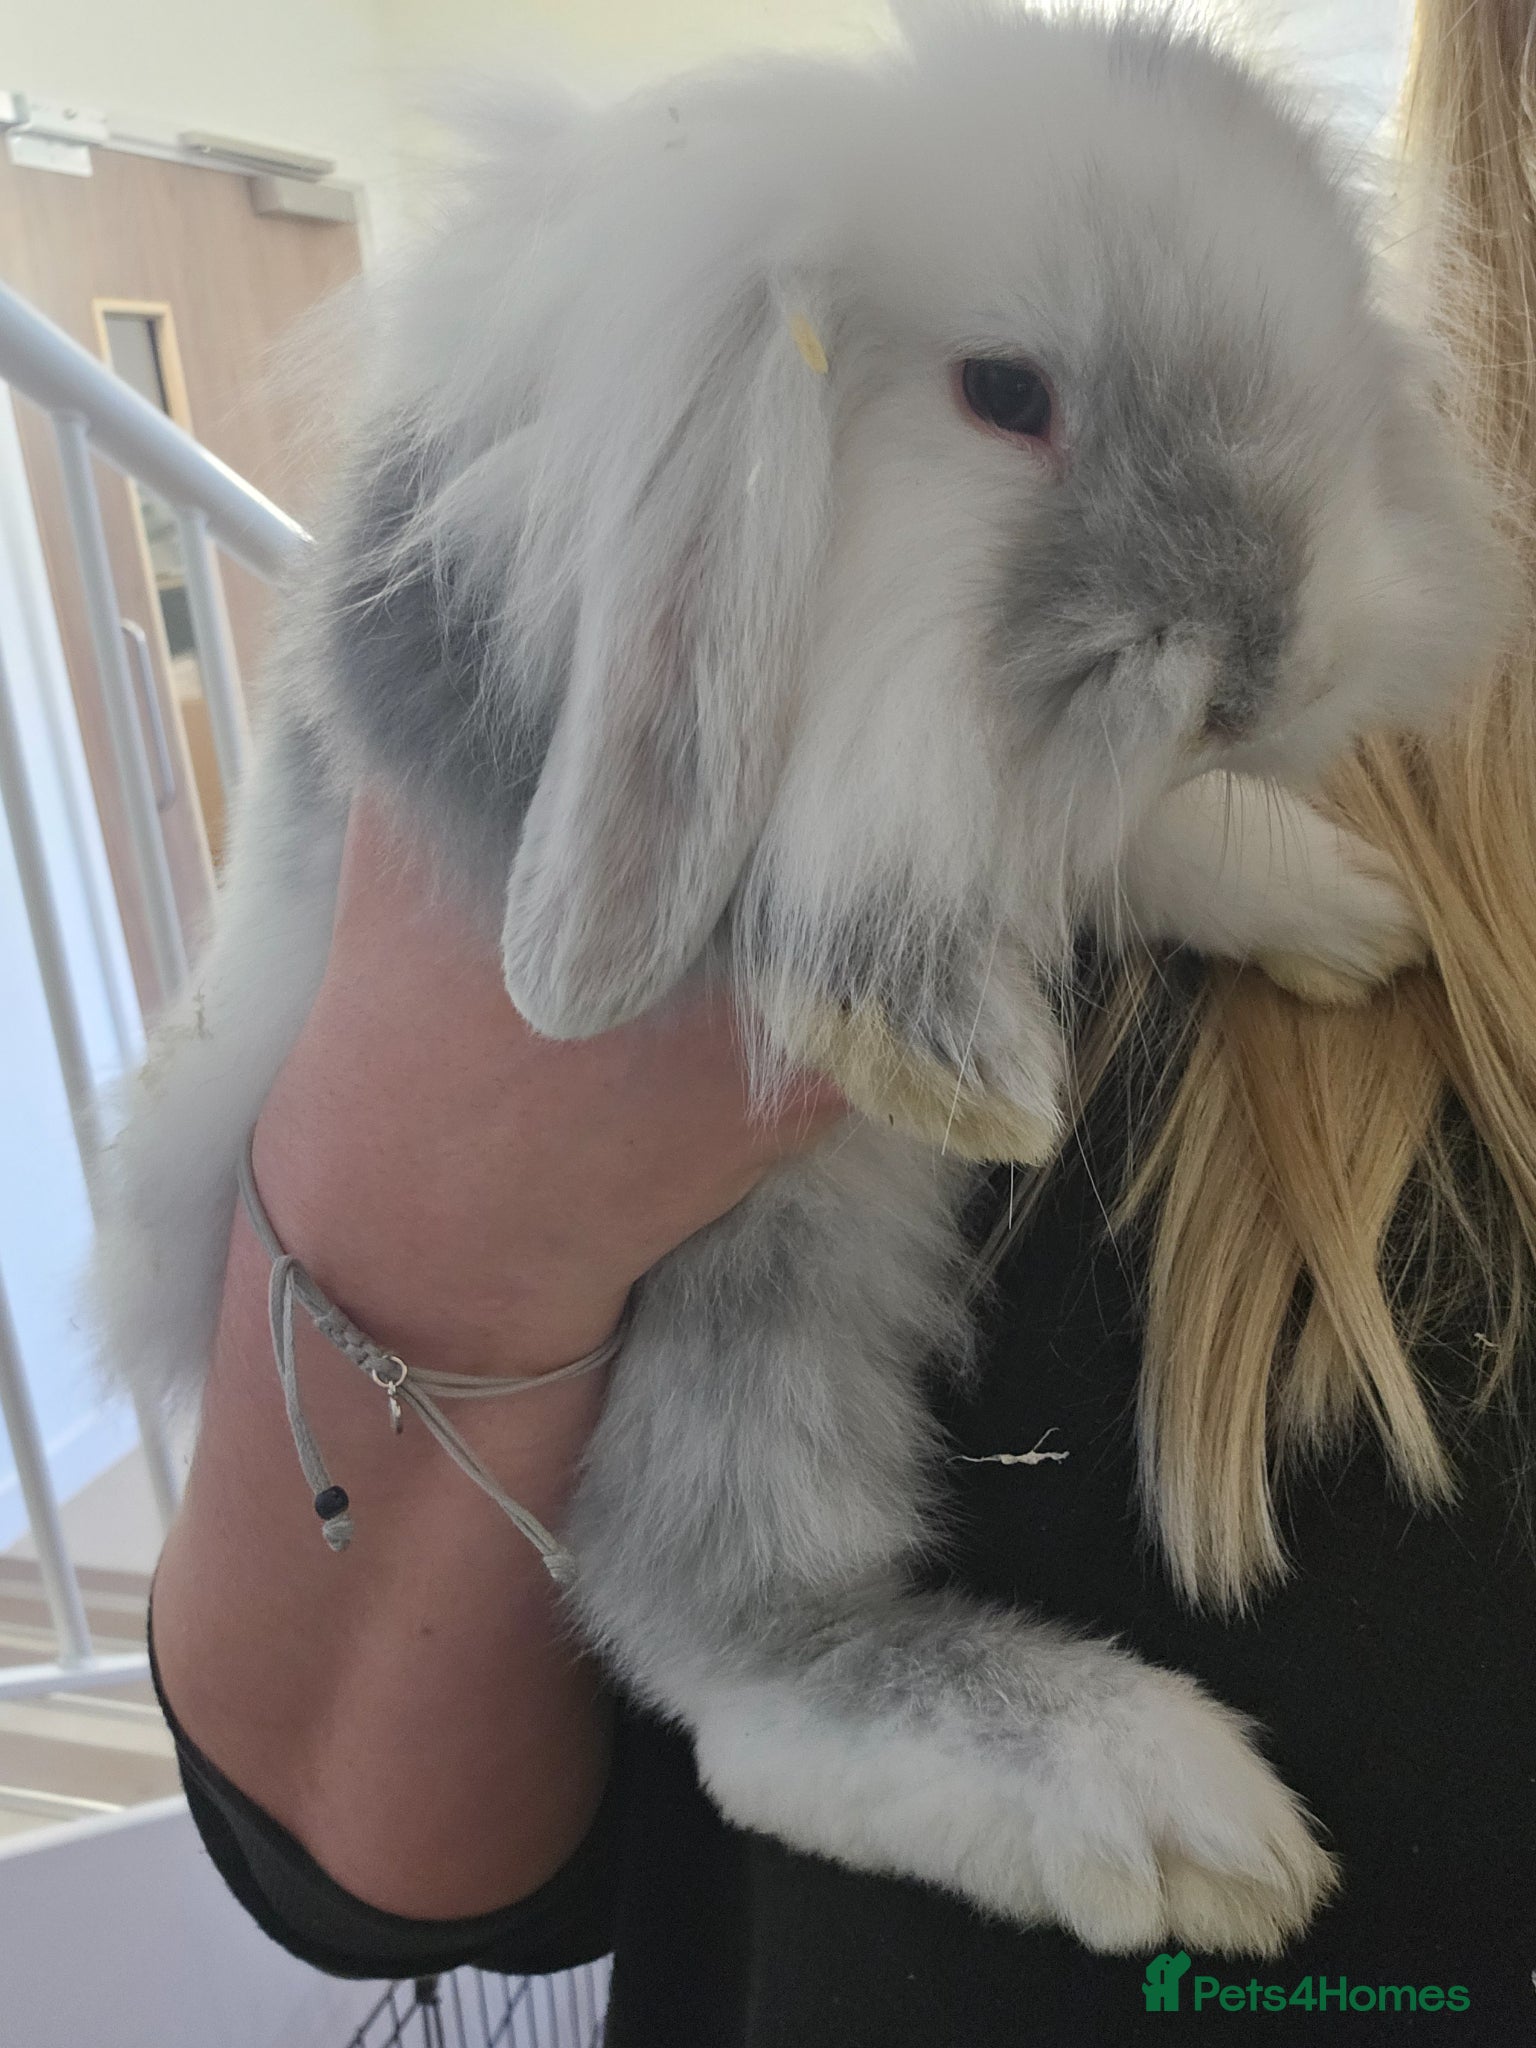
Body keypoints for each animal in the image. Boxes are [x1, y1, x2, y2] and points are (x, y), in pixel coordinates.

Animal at [95, 8, 1512, 1957]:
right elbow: (834, 879)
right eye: (1005, 395)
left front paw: (1340, 910)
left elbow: (1119, 834)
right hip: (759, 1294)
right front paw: (961, 1067)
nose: (1268, 669)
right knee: (736, 1666)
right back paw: (1153, 1812)